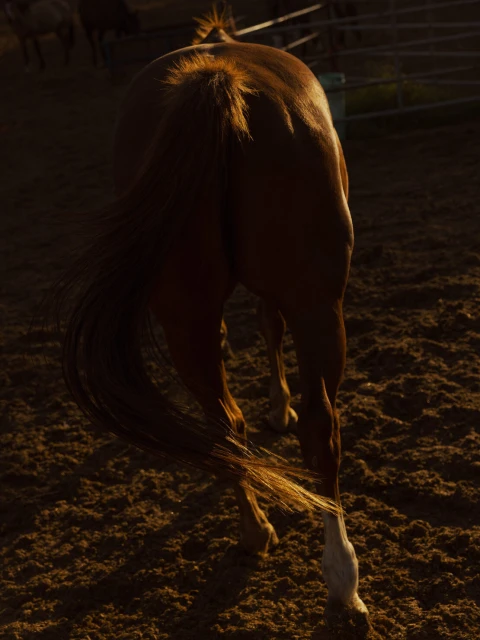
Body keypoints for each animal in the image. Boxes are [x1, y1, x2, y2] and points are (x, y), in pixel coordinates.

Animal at [43, 9, 369, 632]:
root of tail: (218, 80)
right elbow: (269, 326)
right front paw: (280, 406)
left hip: (183, 317)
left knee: (224, 425)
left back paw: (254, 531)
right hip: (319, 305)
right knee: (322, 429)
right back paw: (342, 578)